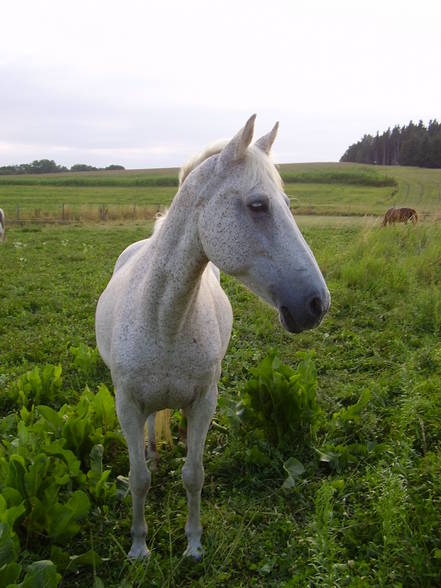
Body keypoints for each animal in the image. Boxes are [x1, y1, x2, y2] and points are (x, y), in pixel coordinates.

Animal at [96, 115, 330, 560]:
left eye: (287, 203)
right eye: (258, 205)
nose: (316, 304)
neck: (164, 320)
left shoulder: (204, 403)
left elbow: (194, 475)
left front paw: (193, 544)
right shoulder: (127, 405)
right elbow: (138, 478)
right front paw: (139, 547)